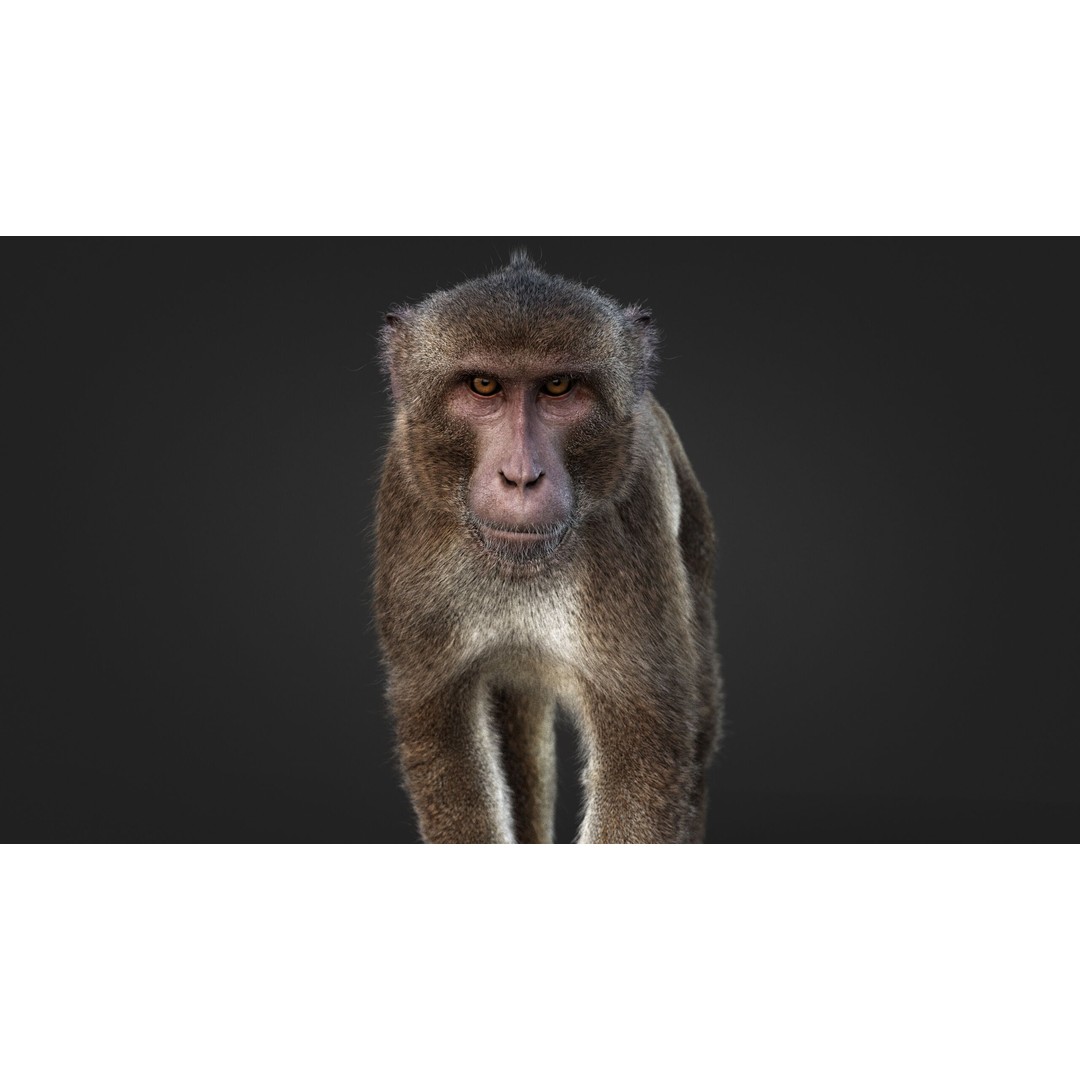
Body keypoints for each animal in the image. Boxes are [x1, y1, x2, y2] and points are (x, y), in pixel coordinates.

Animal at [373, 253, 721, 843]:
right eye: (483, 385)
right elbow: (441, 728)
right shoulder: (408, 507)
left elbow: (647, 748)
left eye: (558, 386)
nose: (521, 476)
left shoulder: (630, 528)